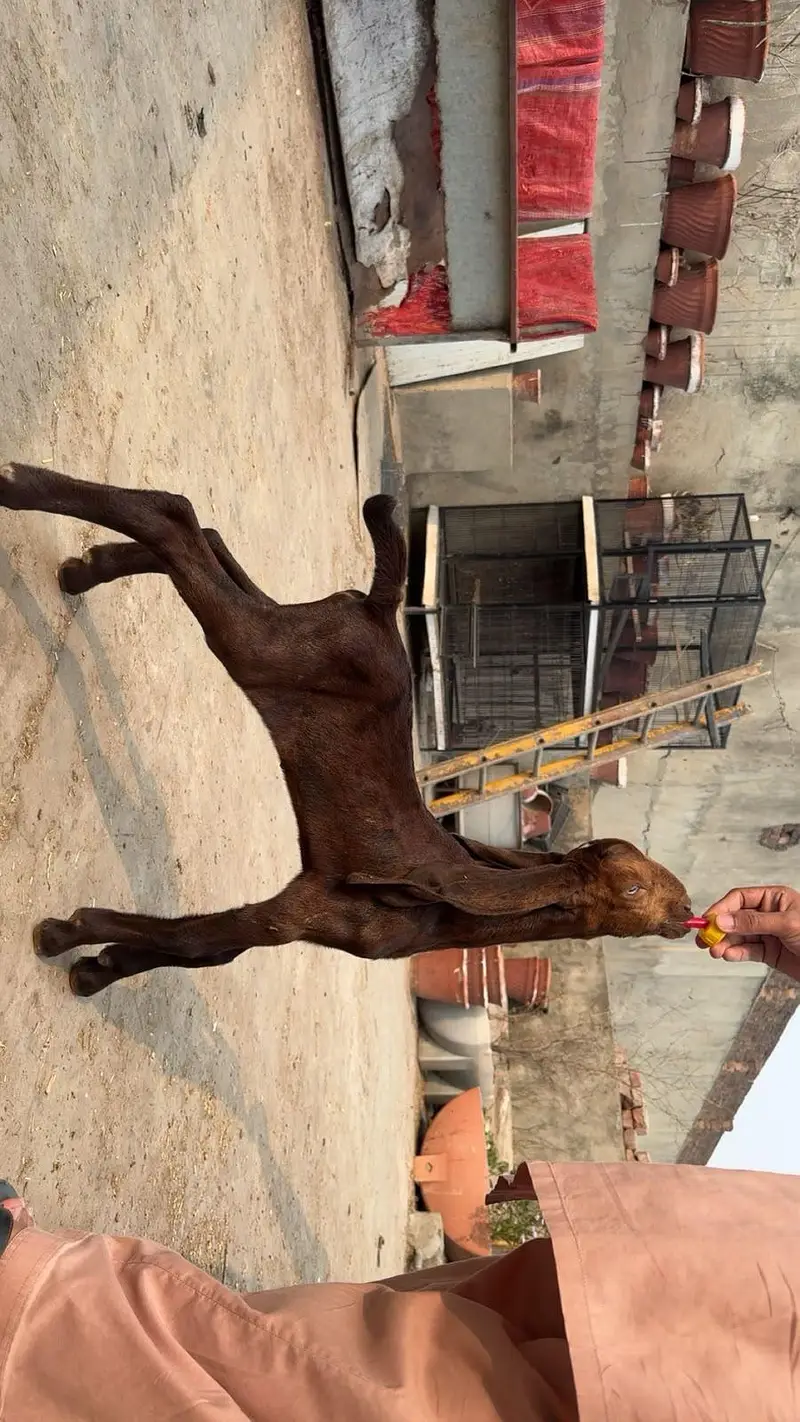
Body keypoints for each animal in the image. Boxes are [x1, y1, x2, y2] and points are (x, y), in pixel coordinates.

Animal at [0, 462, 692, 997]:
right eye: (632, 886)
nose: (687, 910)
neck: (440, 917)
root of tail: (380, 611)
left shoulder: (298, 911)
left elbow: (212, 950)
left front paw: (100, 965)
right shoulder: (304, 912)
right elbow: (204, 940)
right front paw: (70, 939)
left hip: (292, 632)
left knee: (210, 540)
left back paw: (86, 567)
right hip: (263, 647)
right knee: (175, 516)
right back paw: (19, 488)